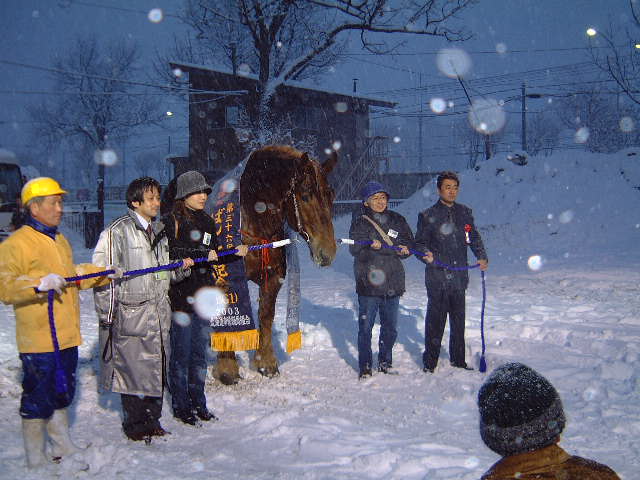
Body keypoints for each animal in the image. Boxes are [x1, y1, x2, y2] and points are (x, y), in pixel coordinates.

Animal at [216, 144, 340, 384]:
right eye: (305, 195)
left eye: (331, 196)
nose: (327, 252)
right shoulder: (227, 282)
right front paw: (227, 369)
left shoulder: (273, 279)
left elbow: (266, 316)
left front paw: (265, 363)